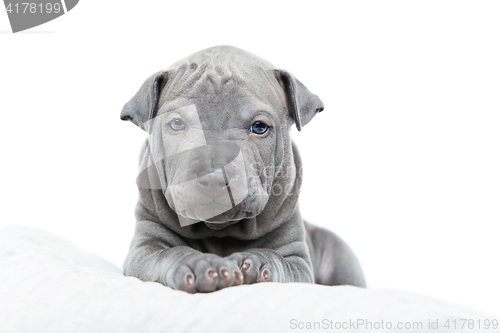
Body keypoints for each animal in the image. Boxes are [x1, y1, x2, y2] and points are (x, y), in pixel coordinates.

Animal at [119, 44, 366, 290]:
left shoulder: (298, 261)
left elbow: (279, 260)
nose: (215, 175)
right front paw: (199, 264)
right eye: (177, 124)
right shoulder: (144, 248)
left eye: (259, 127)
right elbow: (169, 254)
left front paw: (255, 262)